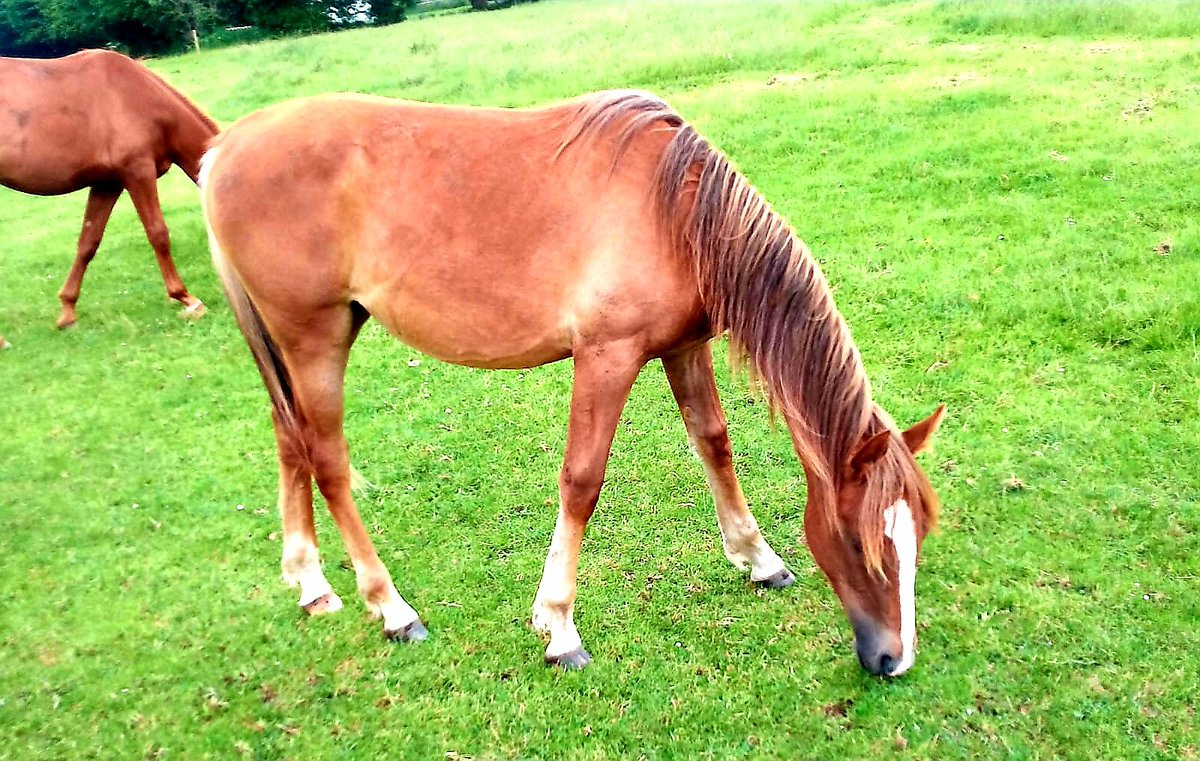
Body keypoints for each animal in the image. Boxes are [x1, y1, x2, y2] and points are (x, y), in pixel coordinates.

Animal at [0, 49, 216, 342]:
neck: (145, 101)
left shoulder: (107, 184)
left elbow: (88, 243)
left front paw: (67, 313)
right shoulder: (138, 172)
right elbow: (158, 233)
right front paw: (187, 299)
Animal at [200, 90, 945, 676]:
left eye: (913, 538)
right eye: (866, 545)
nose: (895, 658)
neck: (675, 213)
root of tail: (224, 148)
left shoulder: (684, 347)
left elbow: (714, 444)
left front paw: (758, 559)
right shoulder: (606, 358)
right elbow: (582, 481)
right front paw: (558, 626)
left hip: (296, 345)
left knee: (289, 438)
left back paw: (311, 582)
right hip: (314, 338)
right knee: (326, 460)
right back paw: (392, 608)